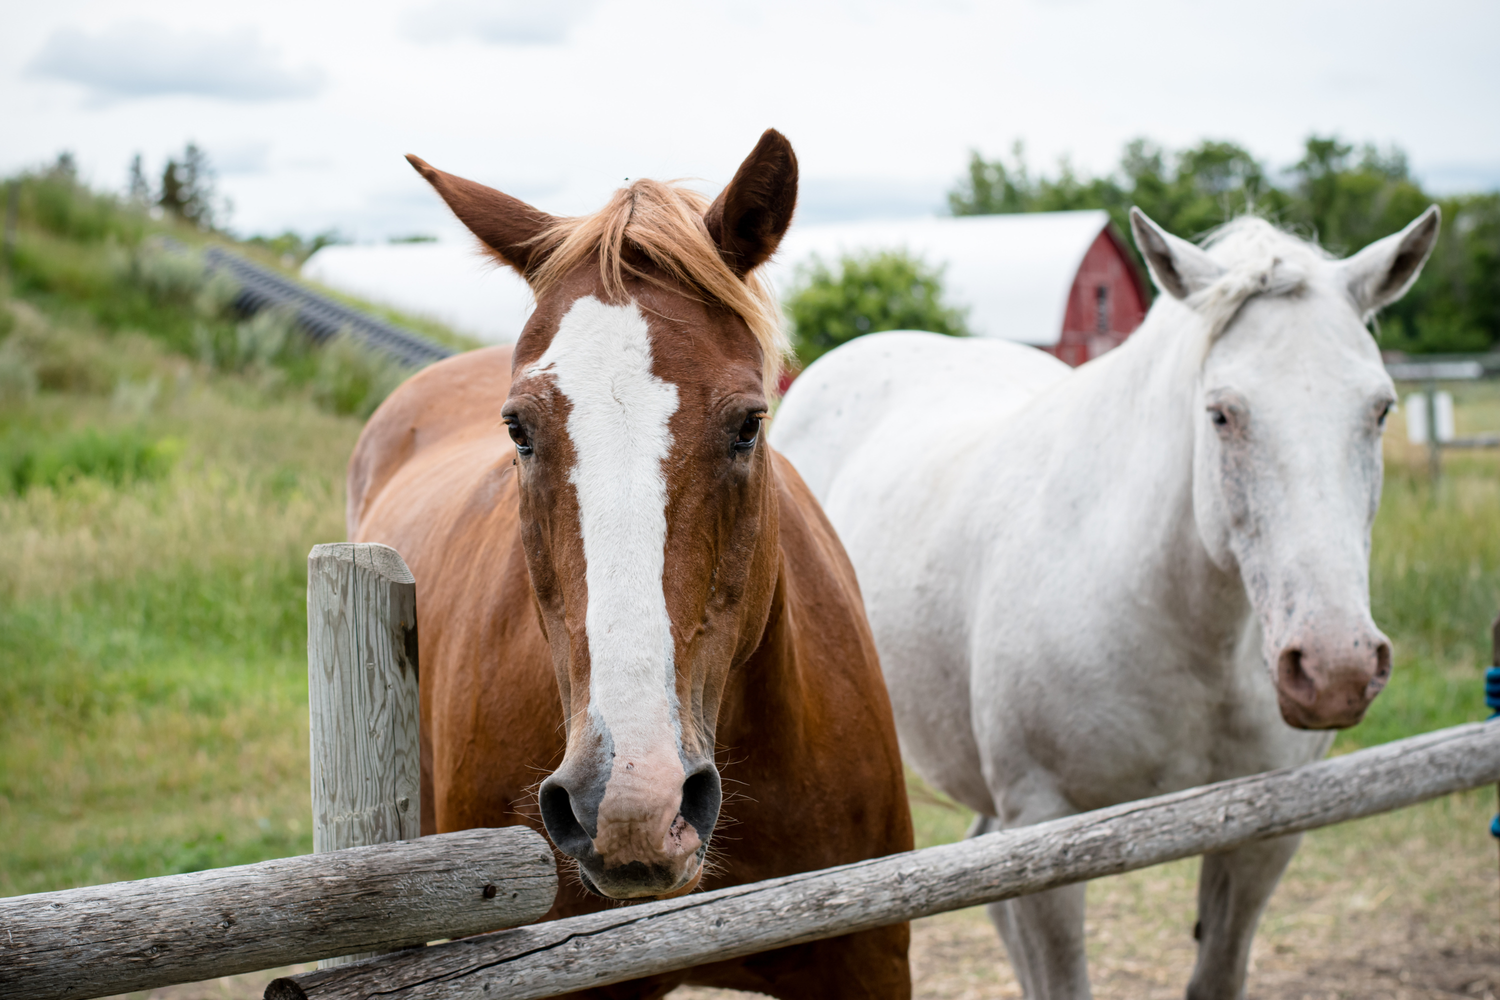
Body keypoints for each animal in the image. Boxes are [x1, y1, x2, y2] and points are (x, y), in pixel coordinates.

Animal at [769, 206, 1440, 1000]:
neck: (1184, 626)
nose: (1336, 668)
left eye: (1381, 409)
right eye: (1221, 414)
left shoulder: (1262, 833)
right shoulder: (1047, 834)